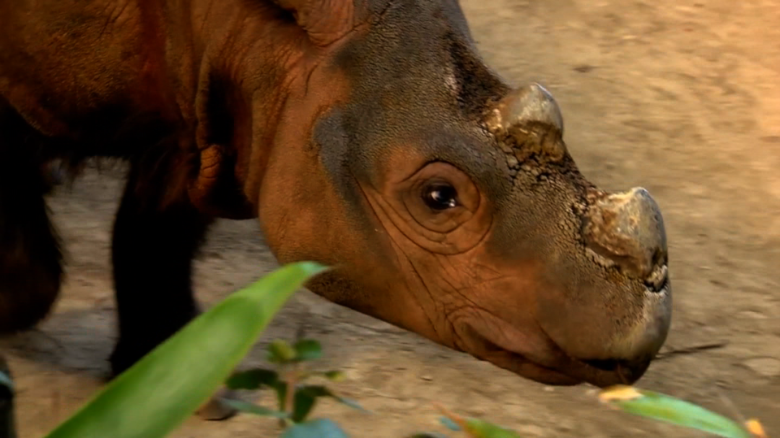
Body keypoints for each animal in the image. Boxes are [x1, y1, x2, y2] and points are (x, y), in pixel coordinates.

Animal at [0, 0, 672, 412]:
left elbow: (154, 240)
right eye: (437, 198)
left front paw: (167, 386)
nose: (640, 337)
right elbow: (35, 272)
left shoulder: (196, 124)